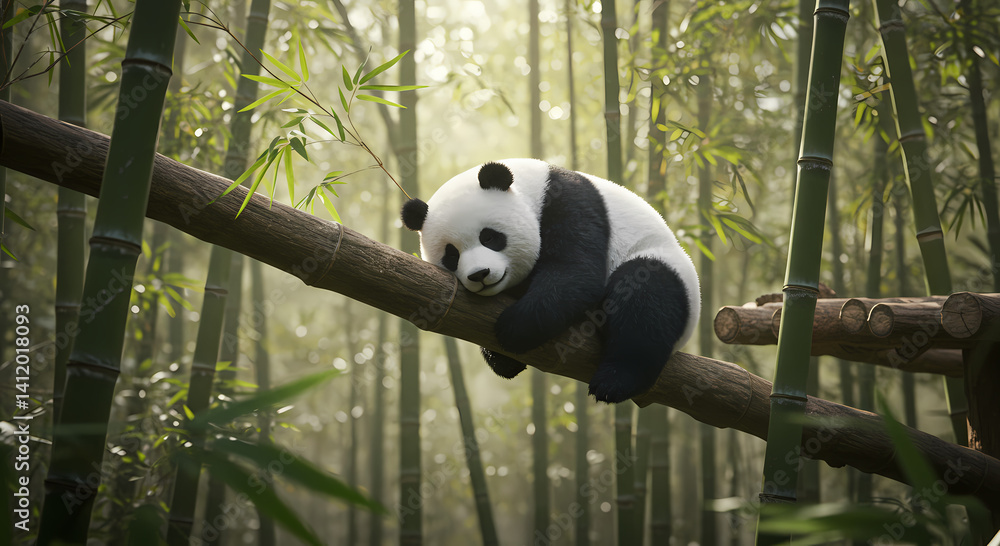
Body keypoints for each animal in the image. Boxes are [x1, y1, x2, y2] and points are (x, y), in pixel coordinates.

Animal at [401, 158, 700, 403]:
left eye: (489, 237)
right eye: (451, 255)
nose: (479, 274)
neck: (533, 189)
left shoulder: (569, 203)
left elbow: (575, 271)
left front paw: (513, 328)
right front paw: (501, 359)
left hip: (661, 265)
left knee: (644, 303)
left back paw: (614, 382)